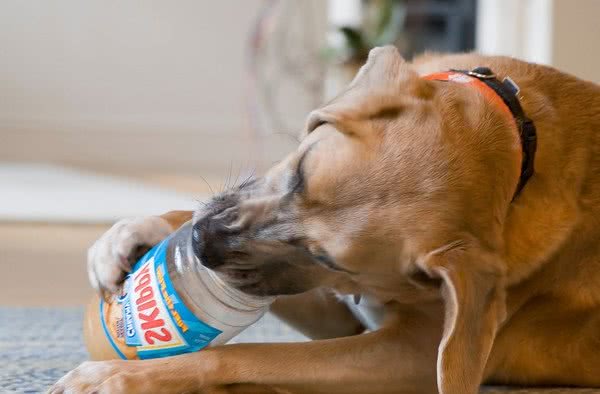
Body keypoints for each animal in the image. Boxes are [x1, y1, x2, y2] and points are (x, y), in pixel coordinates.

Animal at [50, 47, 600, 394]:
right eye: (299, 170)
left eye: (329, 259)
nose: (204, 245)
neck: (514, 142)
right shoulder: (339, 313)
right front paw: (136, 233)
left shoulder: (416, 357)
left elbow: (248, 355)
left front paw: (122, 378)